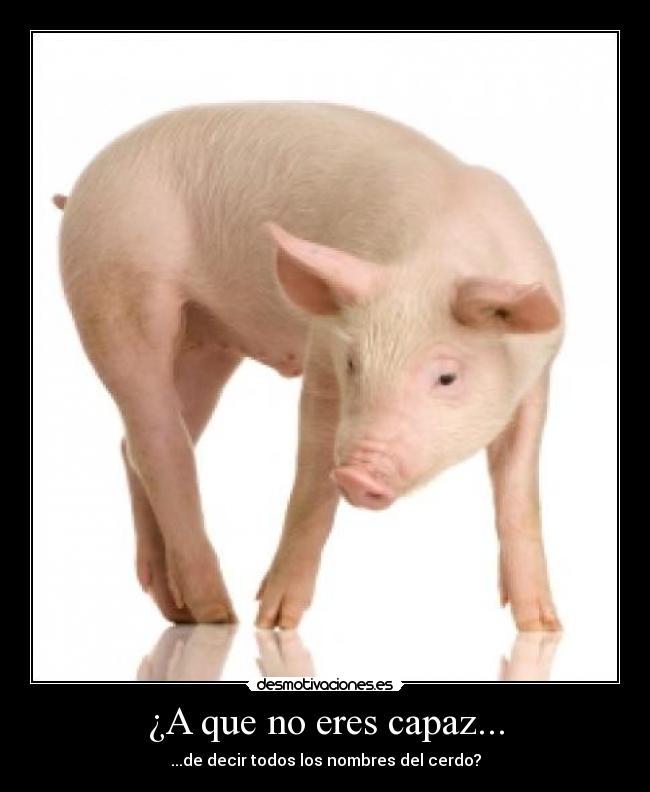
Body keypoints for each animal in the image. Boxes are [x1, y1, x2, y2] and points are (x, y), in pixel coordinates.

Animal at [56, 103, 563, 631]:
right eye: (353, 363)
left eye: (447, 376)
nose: (358, 475)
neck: (434, 260)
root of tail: (83, 187)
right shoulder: (322, 347)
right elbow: (312, 486)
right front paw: (274, 623)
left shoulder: (539, 378)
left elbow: (519, 491)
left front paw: (543, 625)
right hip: (113, 286)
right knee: (161, 445)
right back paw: (219, 614)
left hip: (205, 342)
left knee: (139, 443)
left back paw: (177, 611)